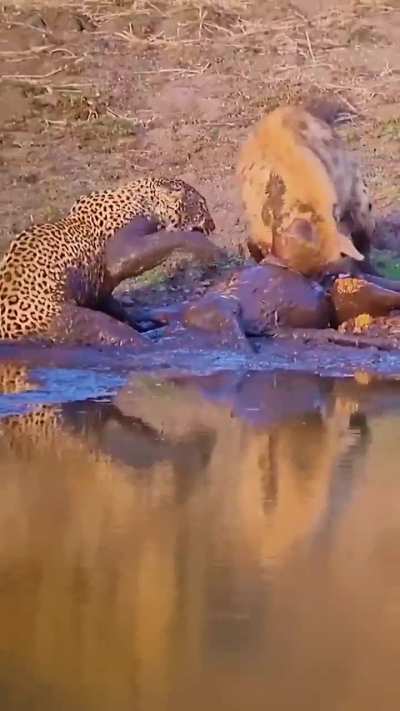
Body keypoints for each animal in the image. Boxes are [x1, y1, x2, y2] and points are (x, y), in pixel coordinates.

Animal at [0, 177, 217, 346]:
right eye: (201, 205)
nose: (213, 225)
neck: (143, 200)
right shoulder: (122, 248)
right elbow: (165, 239)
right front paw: (205, 247)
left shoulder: (96, 288)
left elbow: (114, 304)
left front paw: (144, 321)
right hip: (72, 320)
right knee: (118, 334)